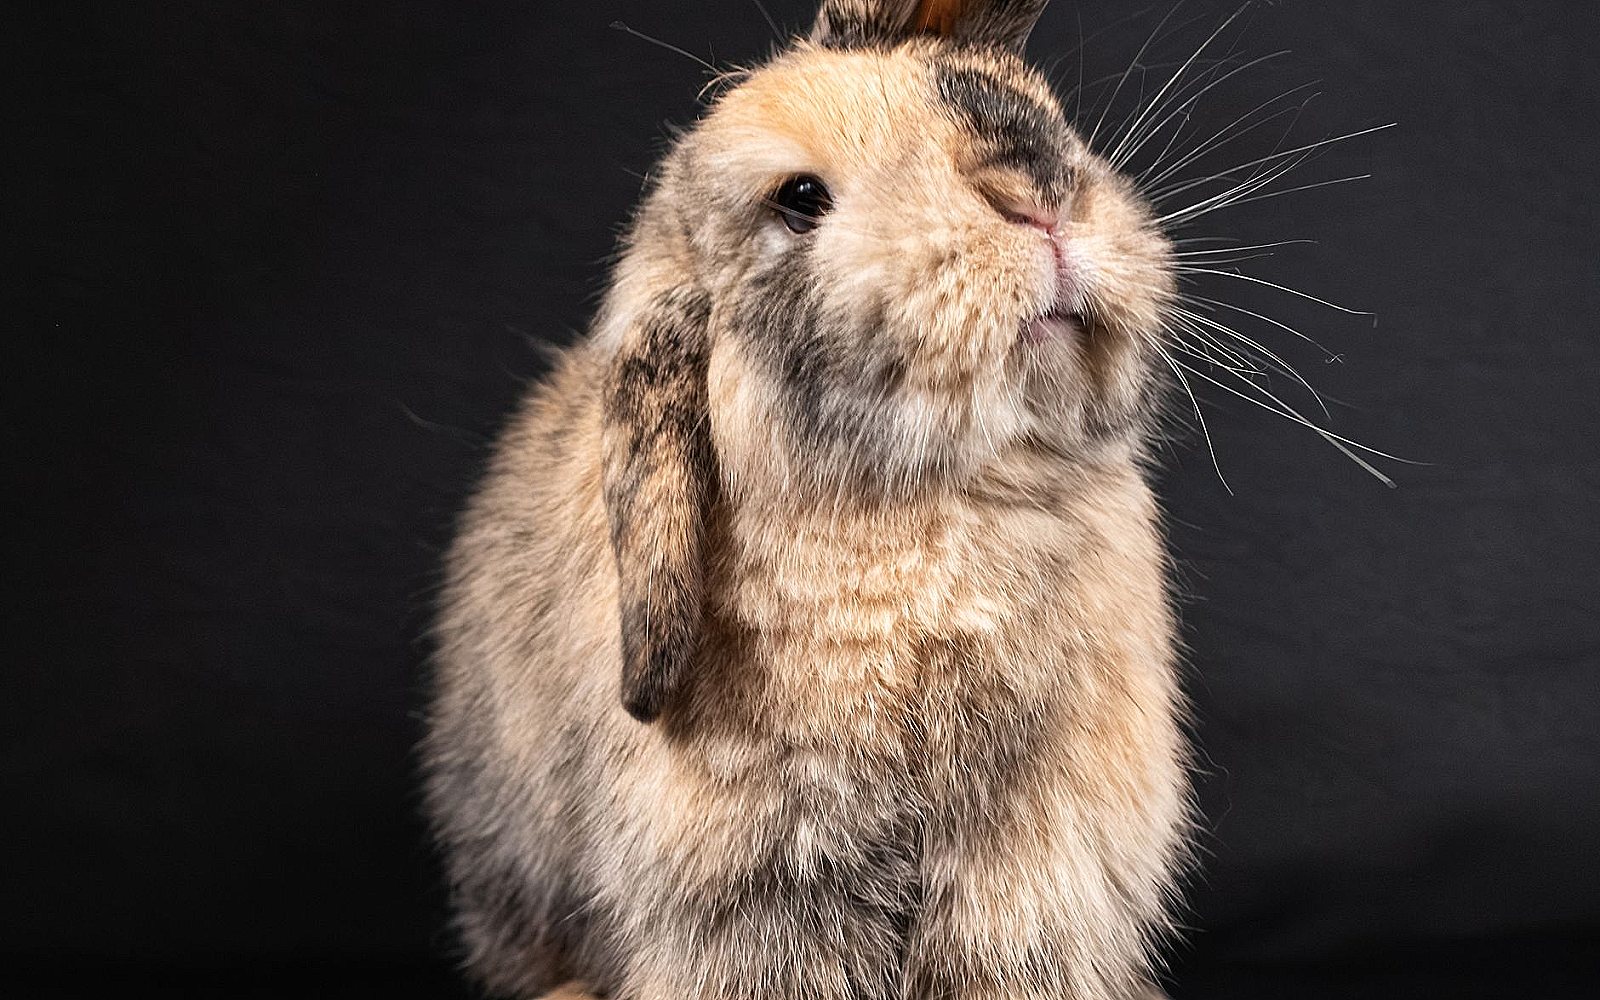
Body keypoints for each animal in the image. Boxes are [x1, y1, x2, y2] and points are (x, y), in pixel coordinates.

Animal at [422, 2, 1191, 999]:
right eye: (798, 199)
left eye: (1044, 110)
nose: (1039, 199)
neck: (942, 500)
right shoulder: (758, 889)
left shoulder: (1035, 868)